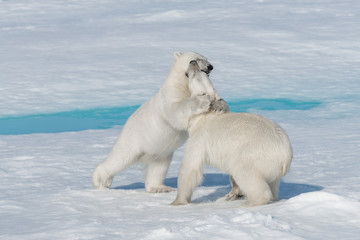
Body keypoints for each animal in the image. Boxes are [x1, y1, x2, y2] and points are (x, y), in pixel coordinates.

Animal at [92, 52, 228, 193]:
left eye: (206, 58)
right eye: (195, 59)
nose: (210, 66)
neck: (182, 85)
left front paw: (220, 106)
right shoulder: (170, 96)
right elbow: (176, 112)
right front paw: (202, 101)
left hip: (160, 151)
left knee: (158, 167)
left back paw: (160, 187)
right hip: (133, 139)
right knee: (120, 158)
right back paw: (101, 181)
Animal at [172, 61, 292, 206]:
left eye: (196, 74)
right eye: (201, 72)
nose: (192, 62)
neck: (202, 116)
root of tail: (285, 155)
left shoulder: (199, 138)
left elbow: (190, 167)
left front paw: (177, 201)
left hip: (254, 154)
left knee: (245, 172)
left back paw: (249, 202)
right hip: (271, 167)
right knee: (272, 183)